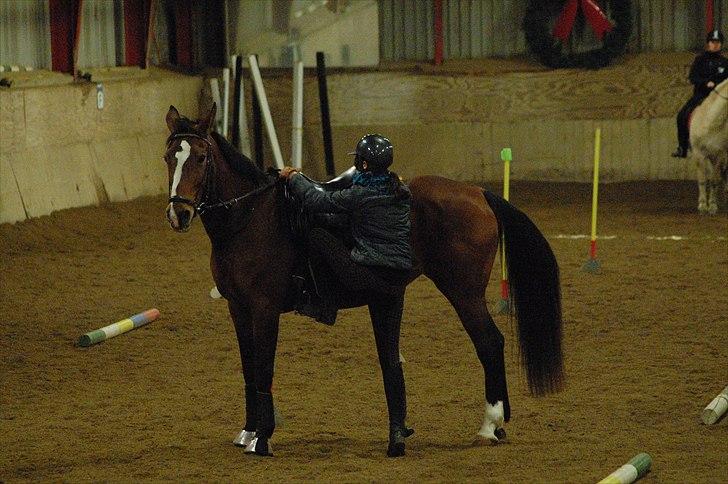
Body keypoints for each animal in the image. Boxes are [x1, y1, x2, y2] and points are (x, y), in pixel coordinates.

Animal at [164, 104, 564, 456]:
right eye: (170, 156)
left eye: (201, 157)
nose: (179, 213)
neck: (251, 219)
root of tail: (479, 193)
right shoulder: (238, 308)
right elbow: (249, 369)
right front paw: (248, 432)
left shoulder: (264, 309)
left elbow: (264, 370)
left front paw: (262, 439)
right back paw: (497, 425)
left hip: (464, 293)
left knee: (490, 343)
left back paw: (488, 425)